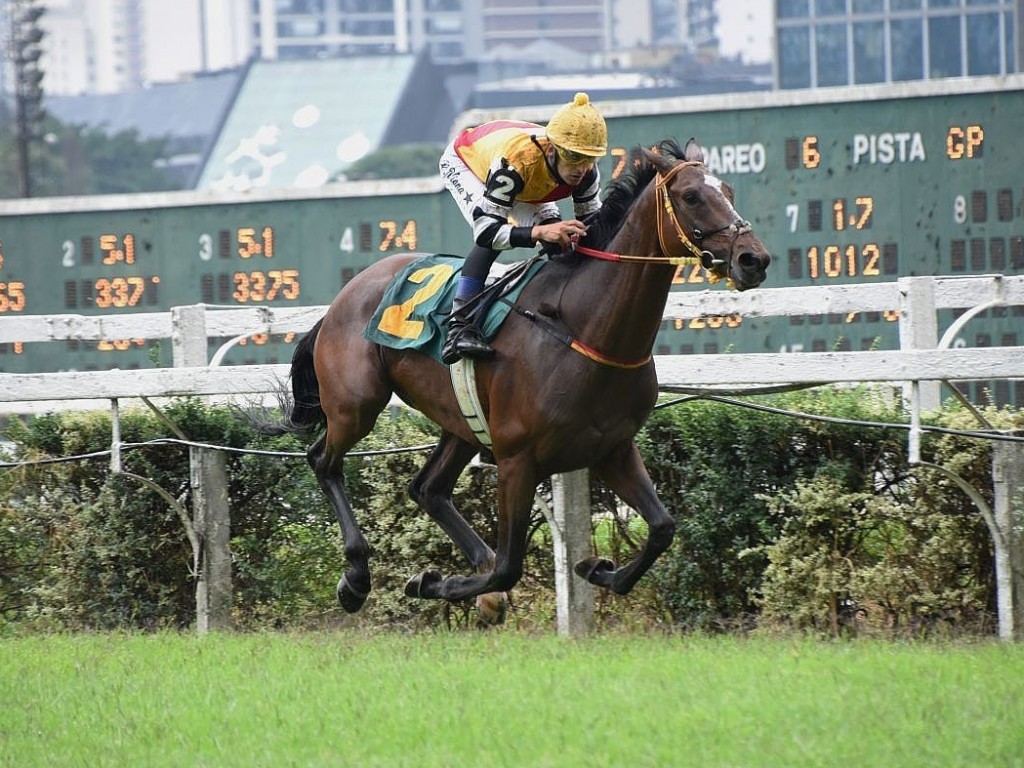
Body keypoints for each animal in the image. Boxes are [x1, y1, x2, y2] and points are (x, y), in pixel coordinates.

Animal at [268, 138, 770, 626]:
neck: (585, 328)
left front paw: (598, 569)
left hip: (461, 422)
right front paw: (436, 584)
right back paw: (356, 577)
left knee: (427, 488)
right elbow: (509, 567)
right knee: (323, 461)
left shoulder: (612, 449)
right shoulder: (517, 460)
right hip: (356, 404)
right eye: (691, 196)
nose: (754, 259)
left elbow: (663, 528)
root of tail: (345, 295)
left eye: (728, 190)